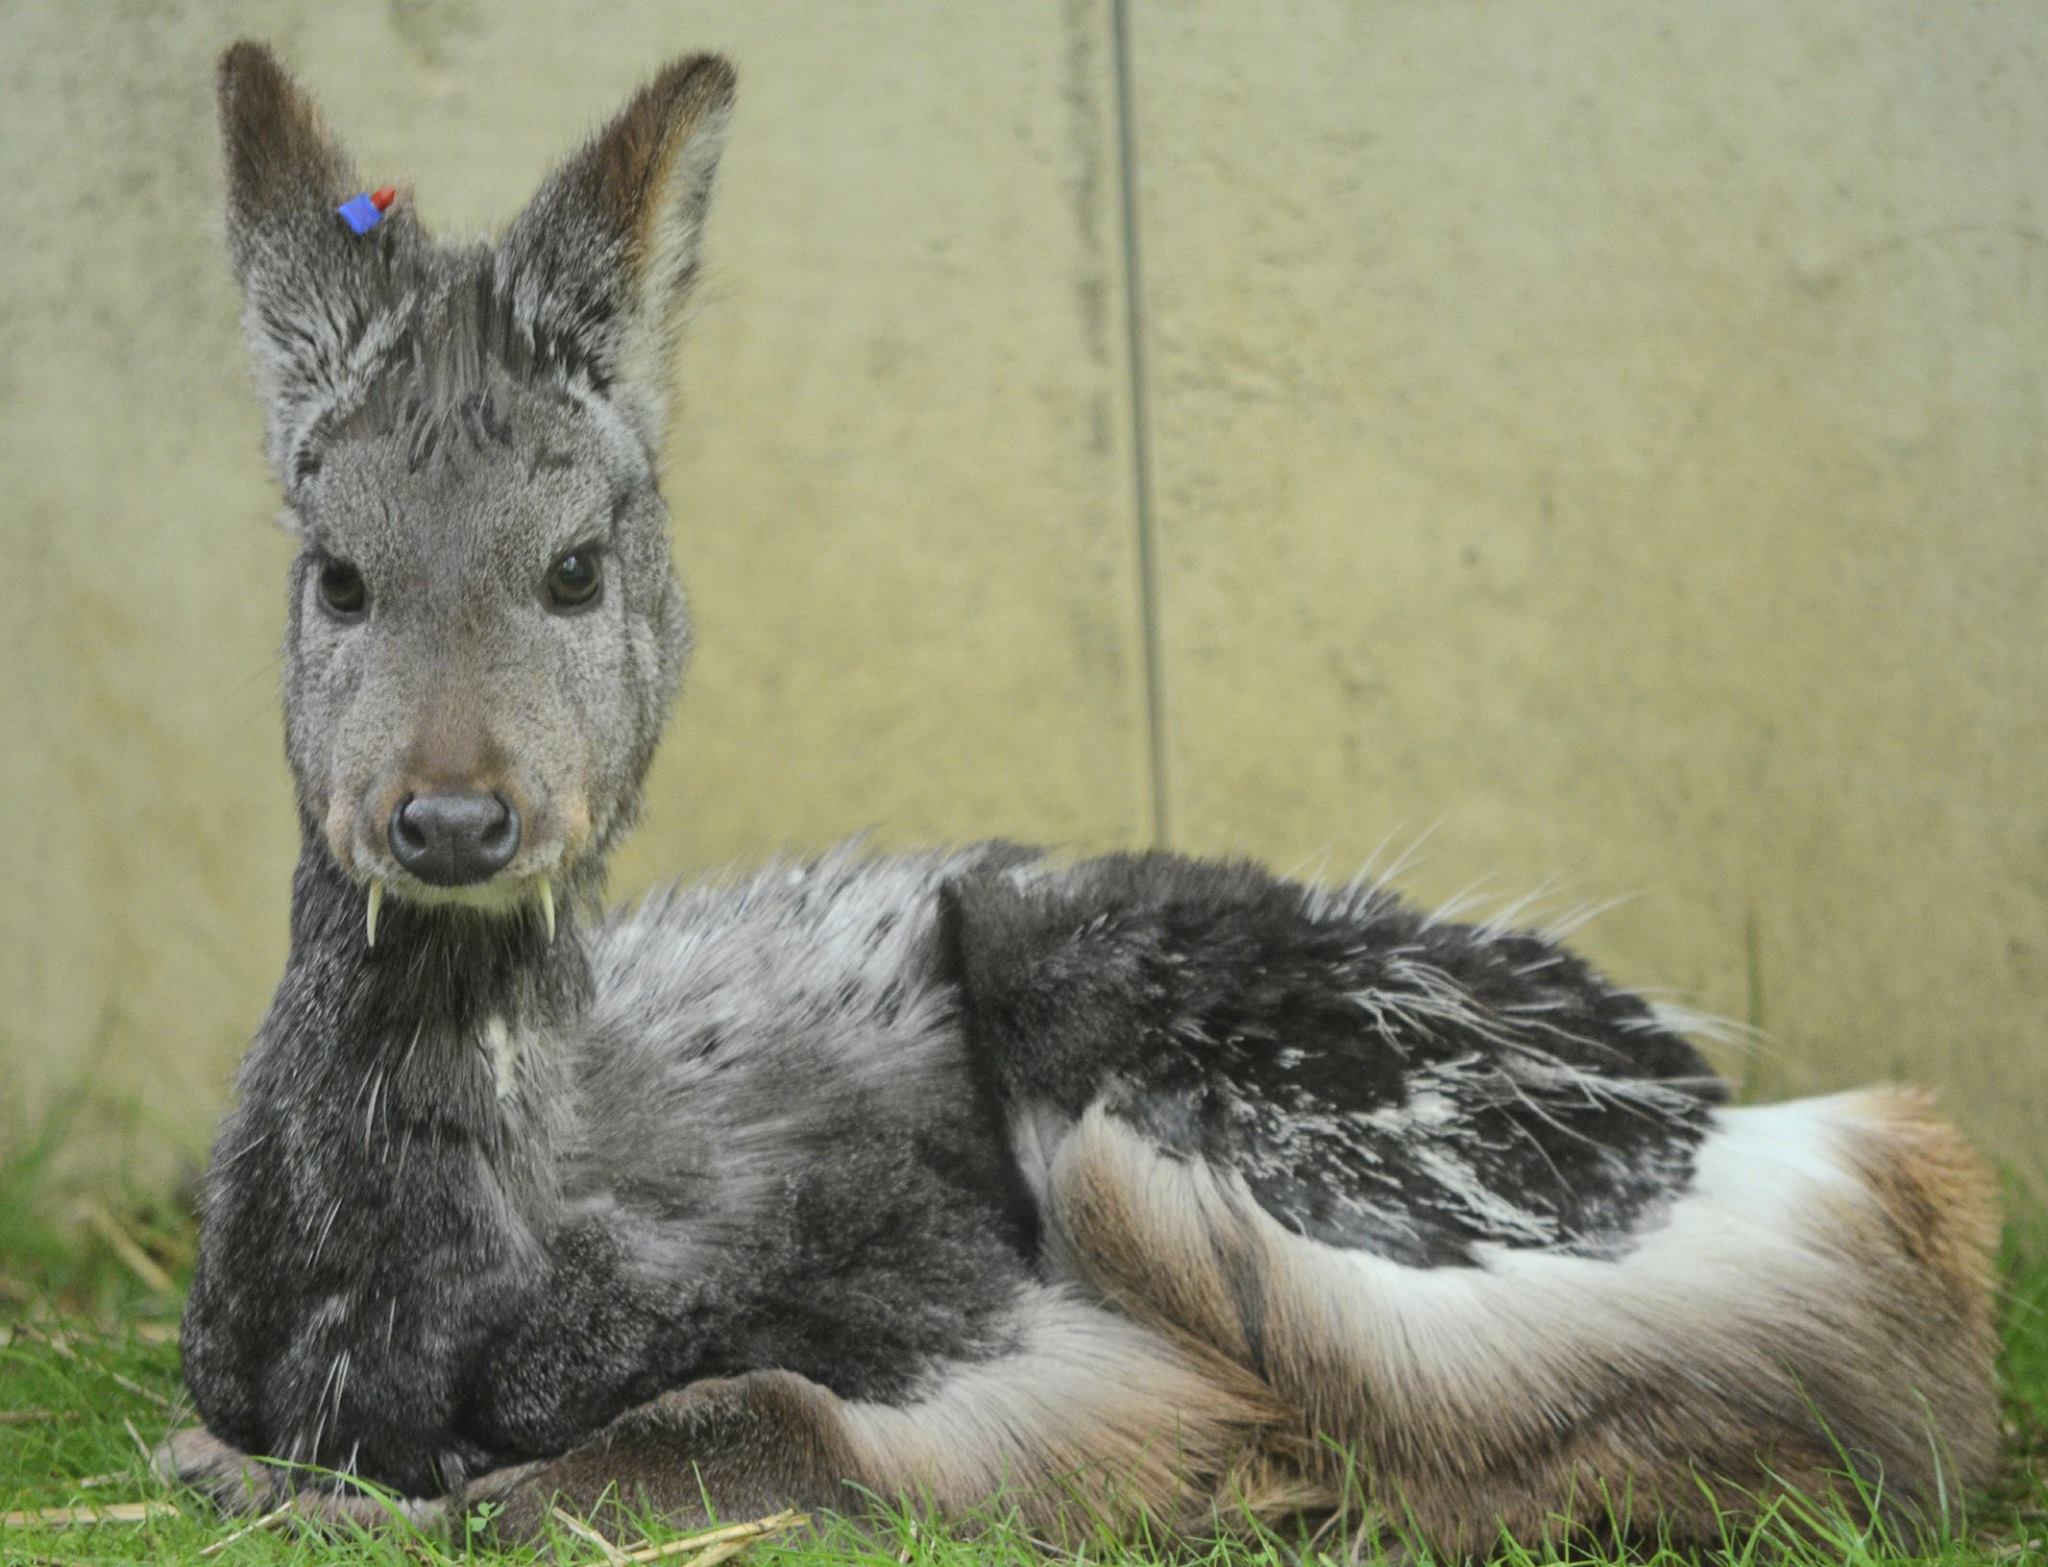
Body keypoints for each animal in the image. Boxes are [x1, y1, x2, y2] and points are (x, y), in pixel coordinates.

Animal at [162, 41, 2002, 1556]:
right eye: (335, 572)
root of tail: (1713, 1107)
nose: (450, 818)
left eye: (572, 563)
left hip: (1134, 1012)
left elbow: (684, 1430)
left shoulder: (963, 1319)